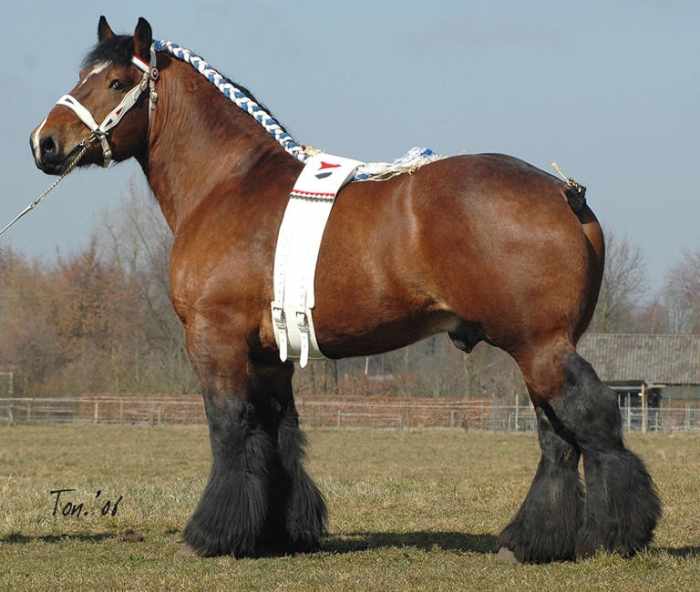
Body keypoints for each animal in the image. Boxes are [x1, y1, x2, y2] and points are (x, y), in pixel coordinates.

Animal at [29, 16, 661, 562]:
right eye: (82, 76)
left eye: (116, 81)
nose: (45, 143)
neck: (228, 185)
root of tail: (564, 193)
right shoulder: (270, 351)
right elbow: (277, 433)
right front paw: (278, 533)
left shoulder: (216, 339)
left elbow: (230, 428)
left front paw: (213, 535)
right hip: (538, 350)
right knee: (557, 437)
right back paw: (531, 542)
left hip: (540, 346)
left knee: (589, 421)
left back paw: (614, 534)